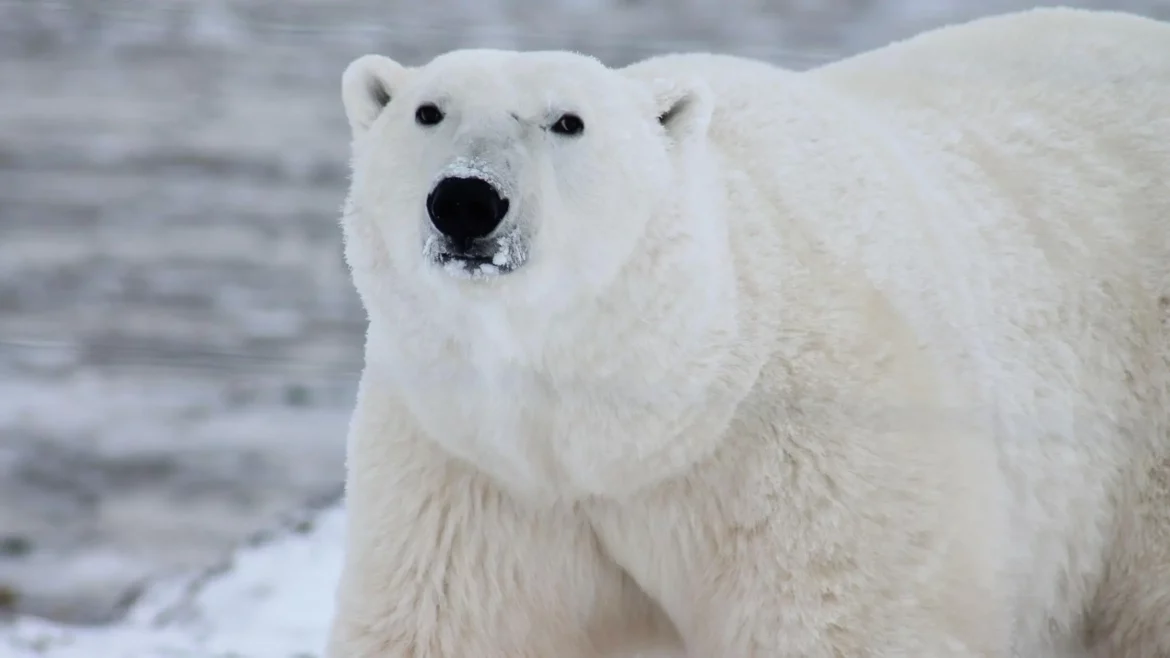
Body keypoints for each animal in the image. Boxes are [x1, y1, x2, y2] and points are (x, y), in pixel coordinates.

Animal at [327, 8, 1170, 655]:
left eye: (568, 121)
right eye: (427, 111)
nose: (466, 200)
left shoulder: (809, 453)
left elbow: (839, 622)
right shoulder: (472, 471)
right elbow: (445, 624)